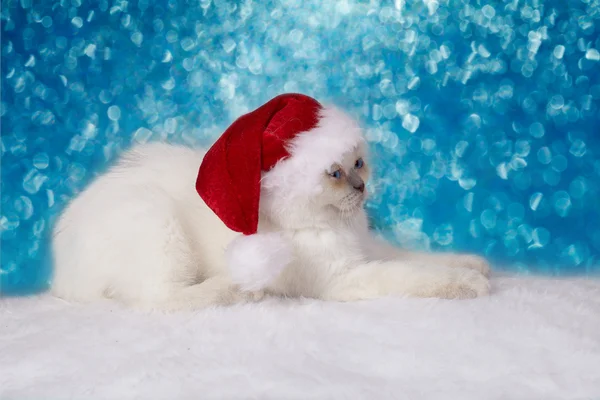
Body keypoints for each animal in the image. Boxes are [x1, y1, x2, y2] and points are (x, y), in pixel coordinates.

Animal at [51, 117, 490, 310]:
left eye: (359, 164)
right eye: (334, 174)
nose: (360, 188)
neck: (337, 226)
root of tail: (62, 270)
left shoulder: (370, 249)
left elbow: (423, 259)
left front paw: (474, 265)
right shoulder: (348, 277)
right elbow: (418, 275)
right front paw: (471, 283)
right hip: (158, 223)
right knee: (159, 299)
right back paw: (240, 289)